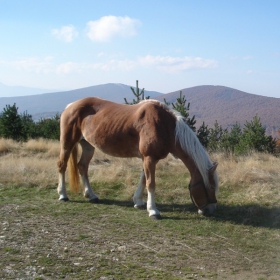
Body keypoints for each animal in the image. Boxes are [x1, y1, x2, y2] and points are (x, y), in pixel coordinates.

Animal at [57, 97, 219, 220]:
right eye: (211, 187)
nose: (210, 210)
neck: (164, 125)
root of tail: (70, 106)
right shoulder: (149, 158)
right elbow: (151, 183)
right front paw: (153, 210)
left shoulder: (147, 159)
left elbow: (143, 179)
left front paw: (138, 201)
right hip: (67, 144)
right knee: (62, 165)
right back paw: (63, 195)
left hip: (88, 146)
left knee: (82, 166)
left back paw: (91, 195)